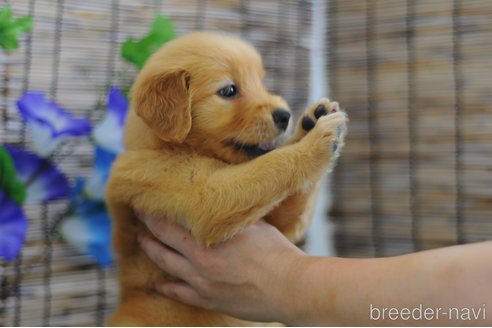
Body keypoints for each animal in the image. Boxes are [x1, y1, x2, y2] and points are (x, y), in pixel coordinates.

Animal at [105, 32, 348, 326]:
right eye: (229, 91)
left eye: (260, 82)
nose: (285, 115)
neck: (170, 148)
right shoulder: (201, 196)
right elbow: (272, 165)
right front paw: (316, 141)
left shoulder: (279, 224)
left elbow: (289, 198)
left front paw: (312, 122)